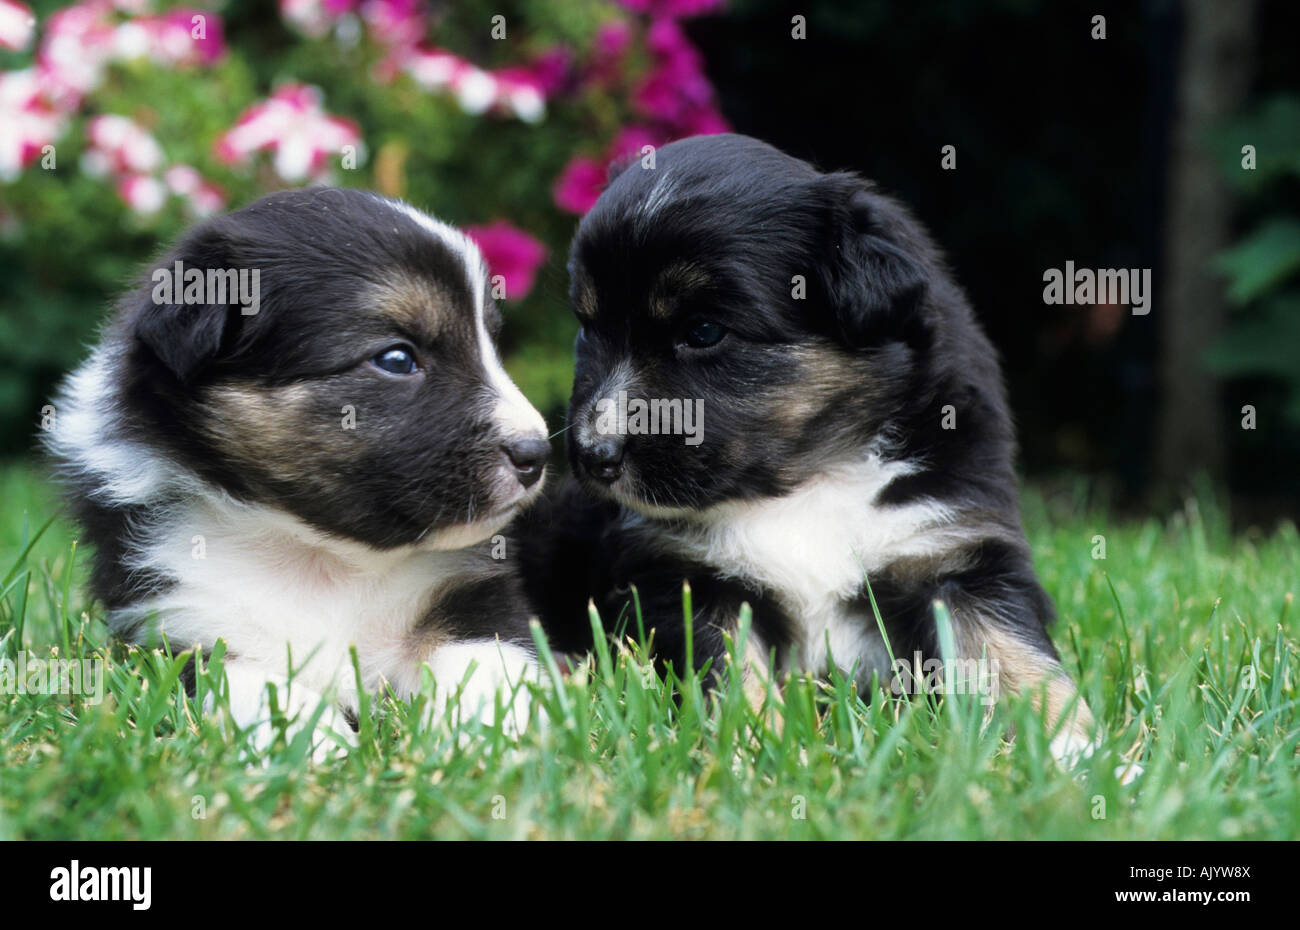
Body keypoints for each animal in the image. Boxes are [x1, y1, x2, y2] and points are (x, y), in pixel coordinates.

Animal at [48, 186, 548, 754]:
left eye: (490, 344)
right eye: (397, 359)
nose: (537, 453)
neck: (323, 559)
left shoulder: (472, 596)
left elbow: (485, 663)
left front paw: (492, 738)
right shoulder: (177, 624)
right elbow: (259, 685)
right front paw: (325, 750)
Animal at [522, 132, 1102, 770]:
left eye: (704, 332)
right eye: (588, 327)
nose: (591, 454)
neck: (808, 477)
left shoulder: (955, 551)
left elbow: (1015, 654)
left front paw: (1082, 753)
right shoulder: (683, 577)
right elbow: (731, 674)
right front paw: (756, 754)